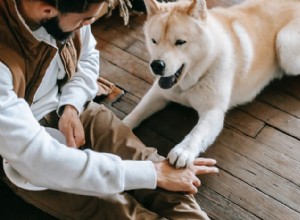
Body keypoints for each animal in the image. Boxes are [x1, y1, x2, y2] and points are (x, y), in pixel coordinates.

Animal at [122, 0, 300, 168]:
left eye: (180, 42)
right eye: (154, 41)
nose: (157, 65)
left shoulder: (213, 111)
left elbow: (197, 132)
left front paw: (183, 151)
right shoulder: (158, 93)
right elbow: (137, 112)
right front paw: (121, 127)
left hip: (285, 46)